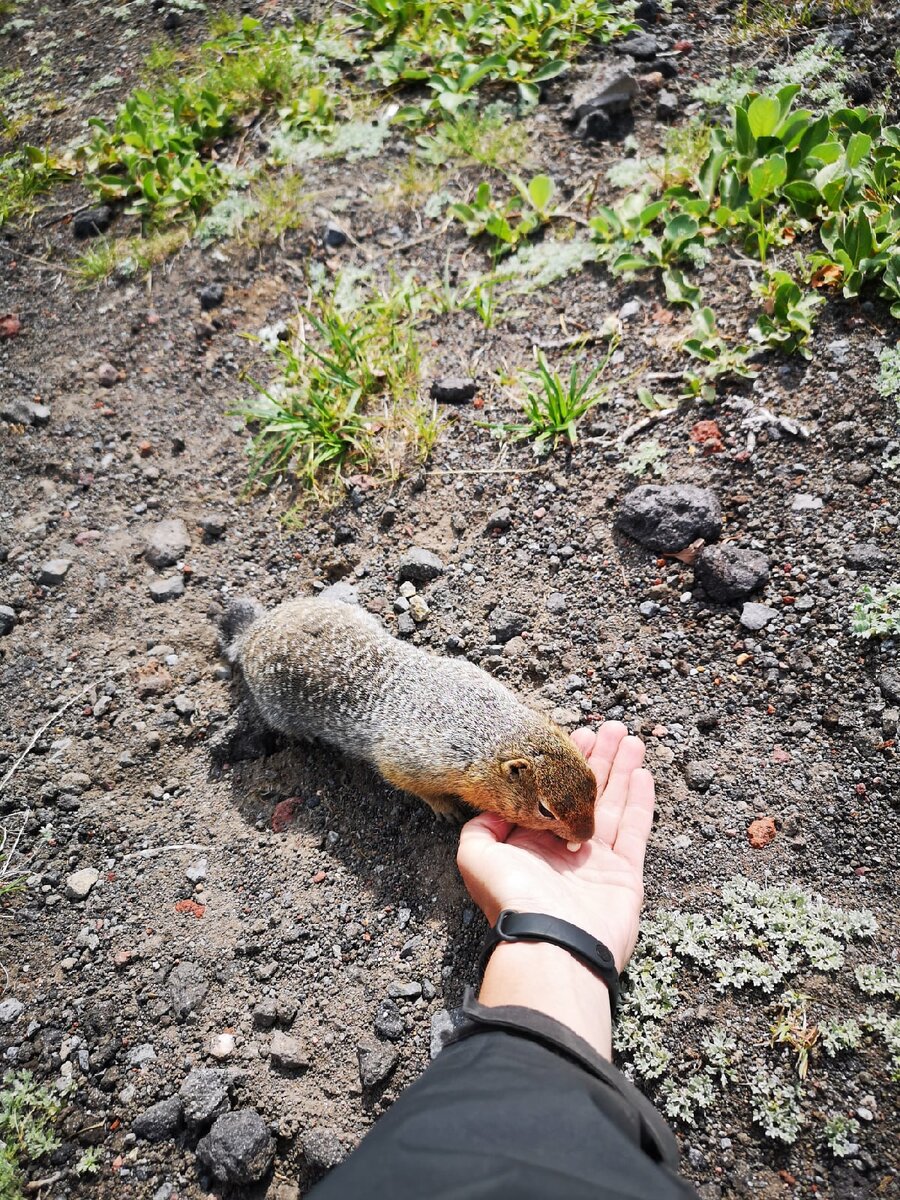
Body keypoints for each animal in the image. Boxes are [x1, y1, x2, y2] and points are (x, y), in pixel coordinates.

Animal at [220, 597, 600, 844]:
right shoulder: (412, 760)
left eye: (594, 784)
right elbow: (408, 782)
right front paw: (445, 809)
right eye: (545, 810)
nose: (587, 836)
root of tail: (254, 630)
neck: (490, 730)